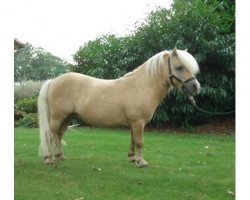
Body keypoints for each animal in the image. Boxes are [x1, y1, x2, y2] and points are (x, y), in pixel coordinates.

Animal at [38, 48, 200, 167]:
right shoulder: (138, 122)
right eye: (179, 67)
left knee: (58, 135)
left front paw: (132, 158)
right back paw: (49, 158)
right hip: (58, 117)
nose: (195, 87)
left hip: (66, 118)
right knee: (50, 134)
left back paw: (60, 156)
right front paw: (141, 162)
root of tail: (54, 80)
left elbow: (133, 140)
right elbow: (139, 141)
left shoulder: (135, 123)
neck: (141, 86)